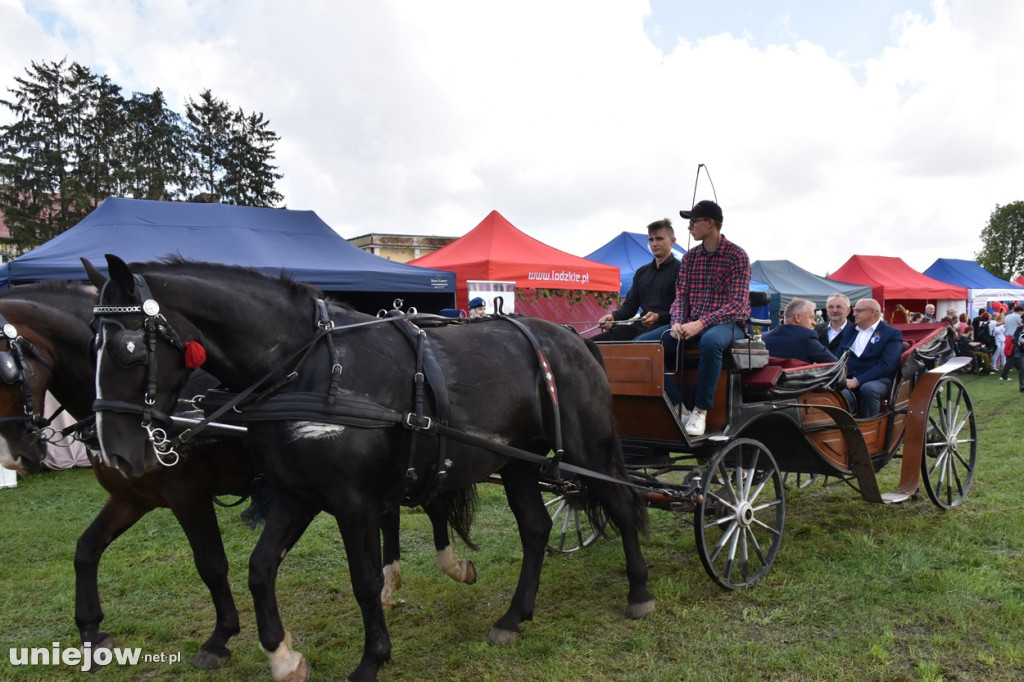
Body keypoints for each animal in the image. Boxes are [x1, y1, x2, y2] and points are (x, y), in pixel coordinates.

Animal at [0, 280, 473, 667]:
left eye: (5, 371)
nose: (17, 457)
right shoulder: (131, 497)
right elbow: (86, 549)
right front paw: (91, 630)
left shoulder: (187, 495)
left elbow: (211, 564)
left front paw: (220, 638)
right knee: (395, 513)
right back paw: (392, 583)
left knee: (432, 502)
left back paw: (449, 565)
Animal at [88, 254, 651, 679]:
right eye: (94, 344)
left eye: (127, 349)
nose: (115, 453)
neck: (308, 367)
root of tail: (575, 339)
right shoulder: (295, 495)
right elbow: (259, 569)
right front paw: (284, 657)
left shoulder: (352, 504)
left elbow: (363, 580)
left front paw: (371, 660)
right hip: (516, 463)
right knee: (535, 529)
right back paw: (514, 617)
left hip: (588, 450)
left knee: (623, 505)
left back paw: (640, 591)